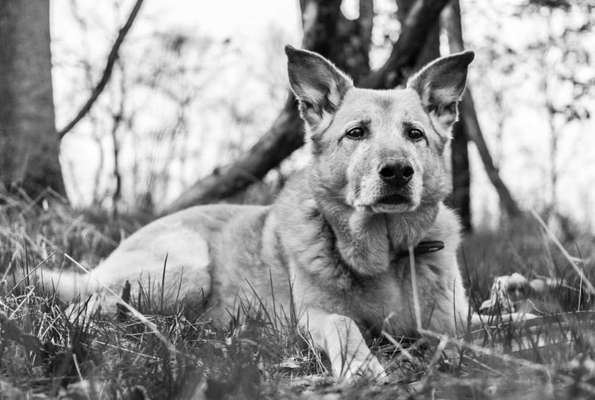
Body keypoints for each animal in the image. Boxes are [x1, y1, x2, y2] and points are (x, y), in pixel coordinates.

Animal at [29, 45, 474, 380]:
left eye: (414, 134)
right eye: (356, 133)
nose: (398, 171)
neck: (387, 253)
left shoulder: (455, 323)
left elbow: (465, 338)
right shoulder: (313, 317)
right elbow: (344, 325)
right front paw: (362, 367)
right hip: (184, 272)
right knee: (83, 307)